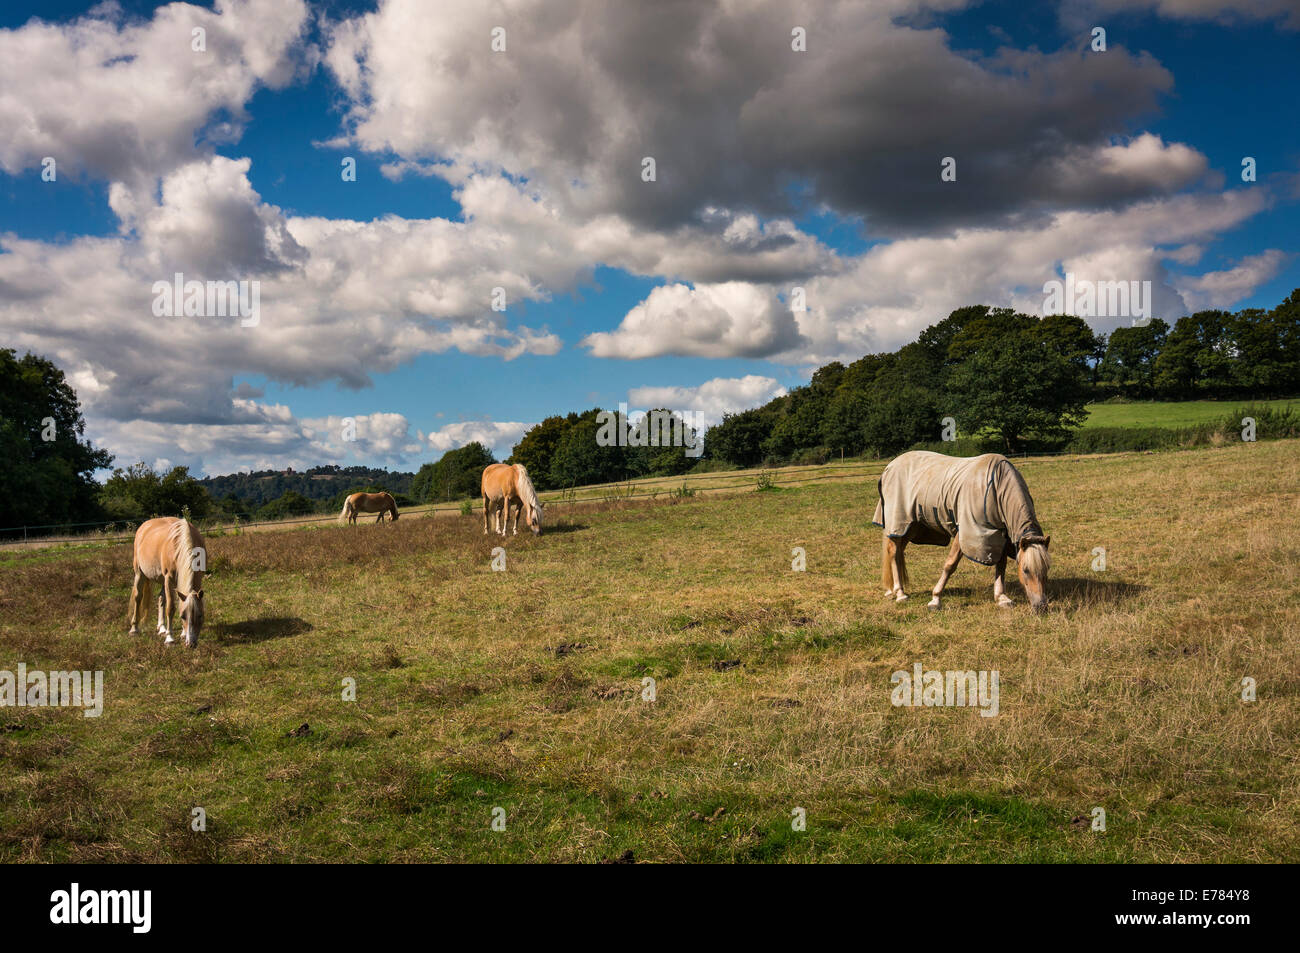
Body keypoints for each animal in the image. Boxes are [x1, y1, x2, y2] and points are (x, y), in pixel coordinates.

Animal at [868, 452, 1050, 608]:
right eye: (1025, 570)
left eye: (1047, 569)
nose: (1040, 606)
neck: (996, 487)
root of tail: (890, 466)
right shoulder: (965, 532)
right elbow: (950, 565)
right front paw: (935, 599)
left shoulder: (1000, 537)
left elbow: (1001, 566)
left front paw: (1001, 598)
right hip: (899, 522)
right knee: (893, 552)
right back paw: (900, 593)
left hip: (911, 527)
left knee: (899, 551)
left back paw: (894, 590)